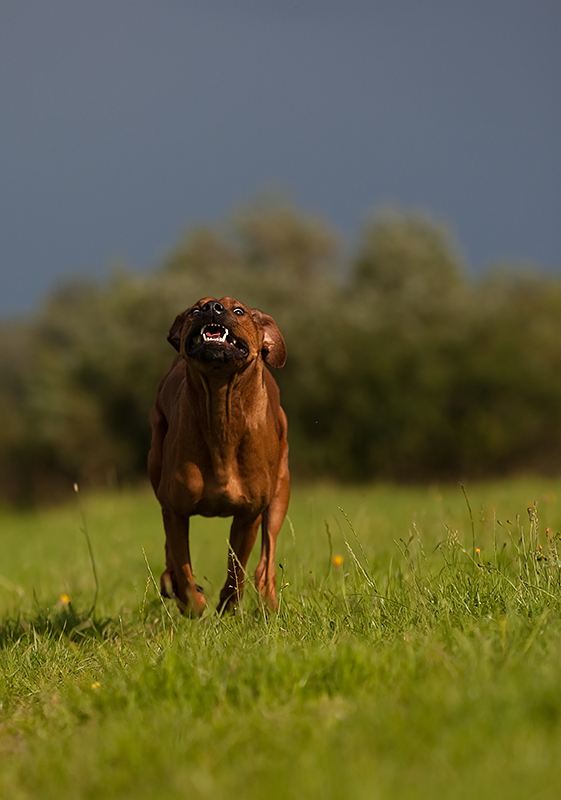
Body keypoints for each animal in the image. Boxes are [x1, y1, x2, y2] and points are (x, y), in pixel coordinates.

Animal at [147, 296, 290, 616]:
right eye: (194, 309)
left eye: (238, 310)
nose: (212, 307)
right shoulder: (175, 510)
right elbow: (183, 568)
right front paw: (195, 604)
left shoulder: (249, 515)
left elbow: (237, 568)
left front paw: (228, 606)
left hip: (280, 493)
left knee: (265, 562)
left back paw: (269, 605)